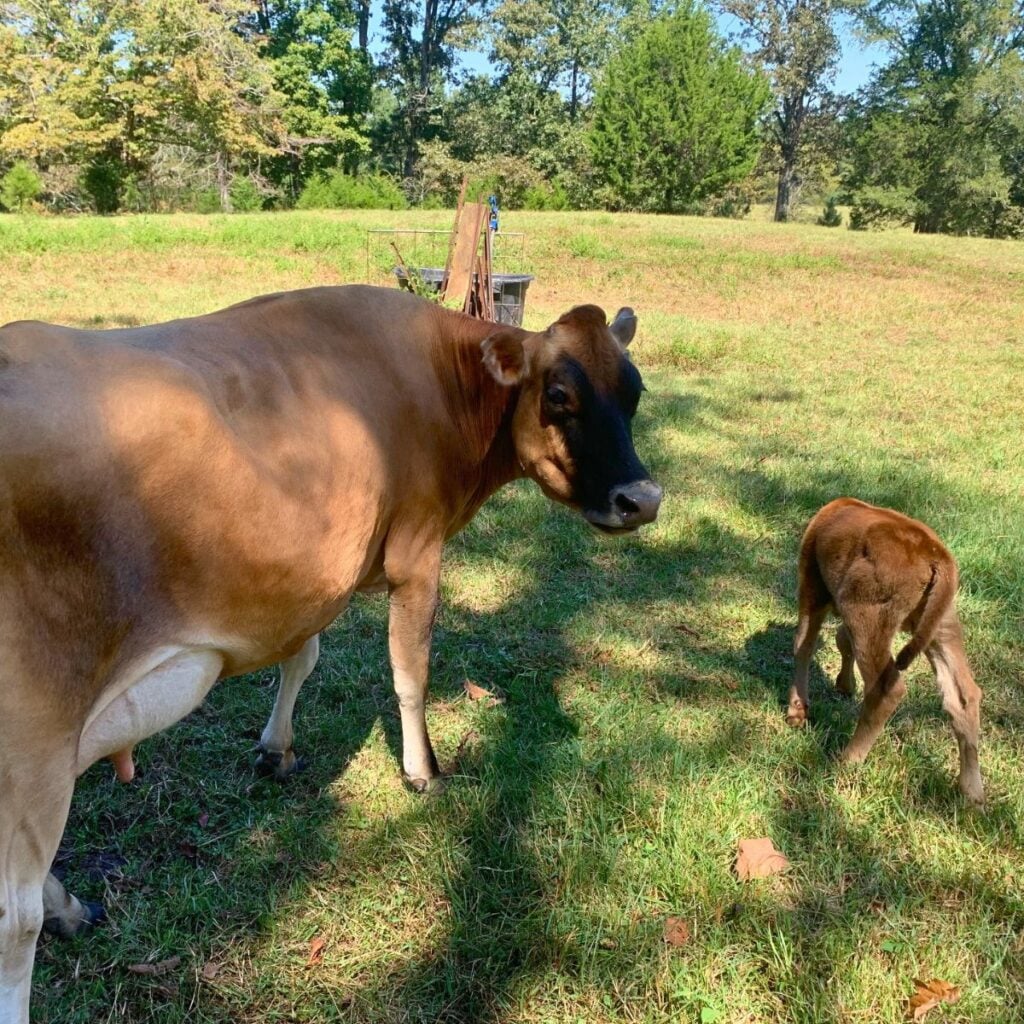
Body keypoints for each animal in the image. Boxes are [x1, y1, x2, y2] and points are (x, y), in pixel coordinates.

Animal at [0, 285, 662, 1022]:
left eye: (633, 390)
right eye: (559, 396)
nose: (642, 498)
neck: (440, 381)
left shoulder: (317, 570)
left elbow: (303, 656)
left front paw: (276, 748)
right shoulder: (416, 551)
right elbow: (410, 670)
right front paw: (422, 770)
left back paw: (69, 905)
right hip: (34, 723)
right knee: (14, 921)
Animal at [787, 498, 983, 804]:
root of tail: (936, 557)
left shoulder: (812, 584)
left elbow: (803, 644)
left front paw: (797, 711)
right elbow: (841, 640)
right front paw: (844, 685)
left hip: (867, 614)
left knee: (886, 688)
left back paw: (846, 761)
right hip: (942, 625)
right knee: (963, 696)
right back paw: (973, 793)